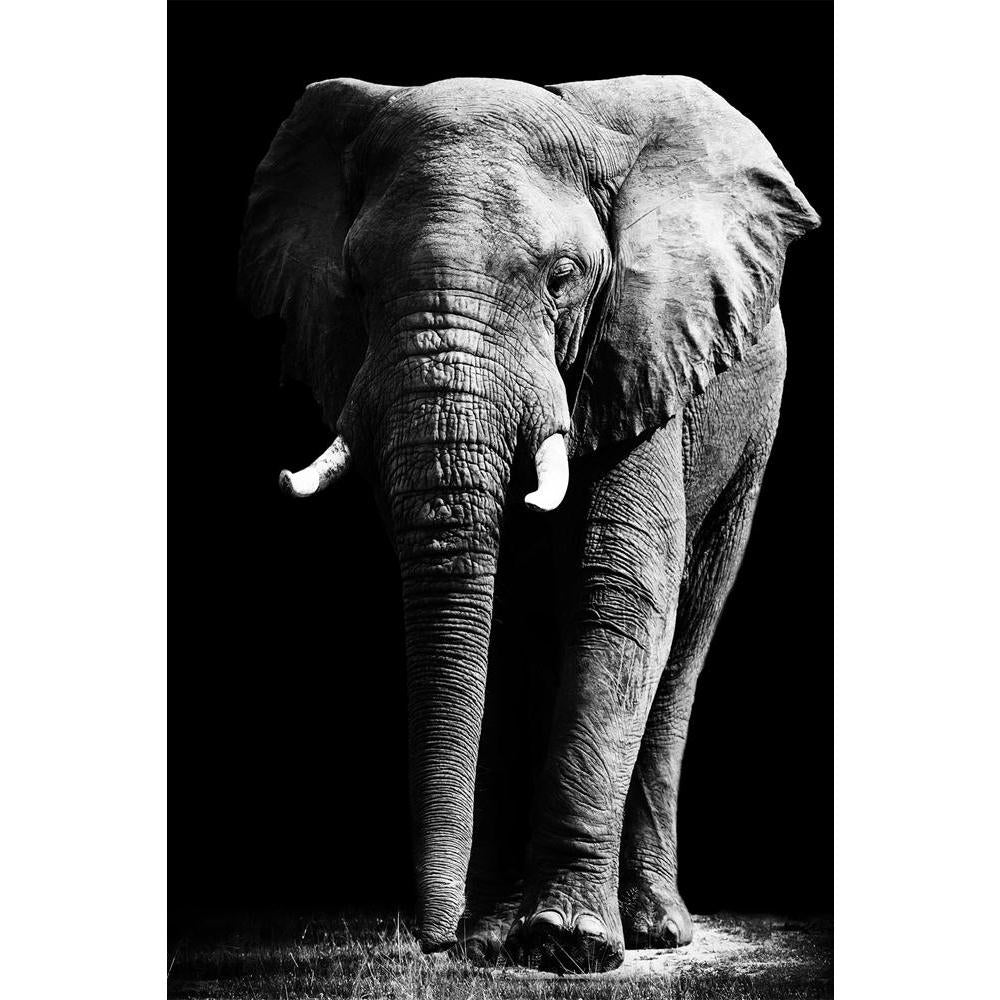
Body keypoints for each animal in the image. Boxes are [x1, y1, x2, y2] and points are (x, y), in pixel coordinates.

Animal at [239, 75, 819, 973]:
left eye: (562, 277)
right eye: (354, 280)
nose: (433, 942)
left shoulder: (640, 349)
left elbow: (621, 595)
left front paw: (566, 944)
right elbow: (502, 621)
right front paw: (494, 940)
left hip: (755, 429)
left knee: (686, 638)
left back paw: (652, 929)